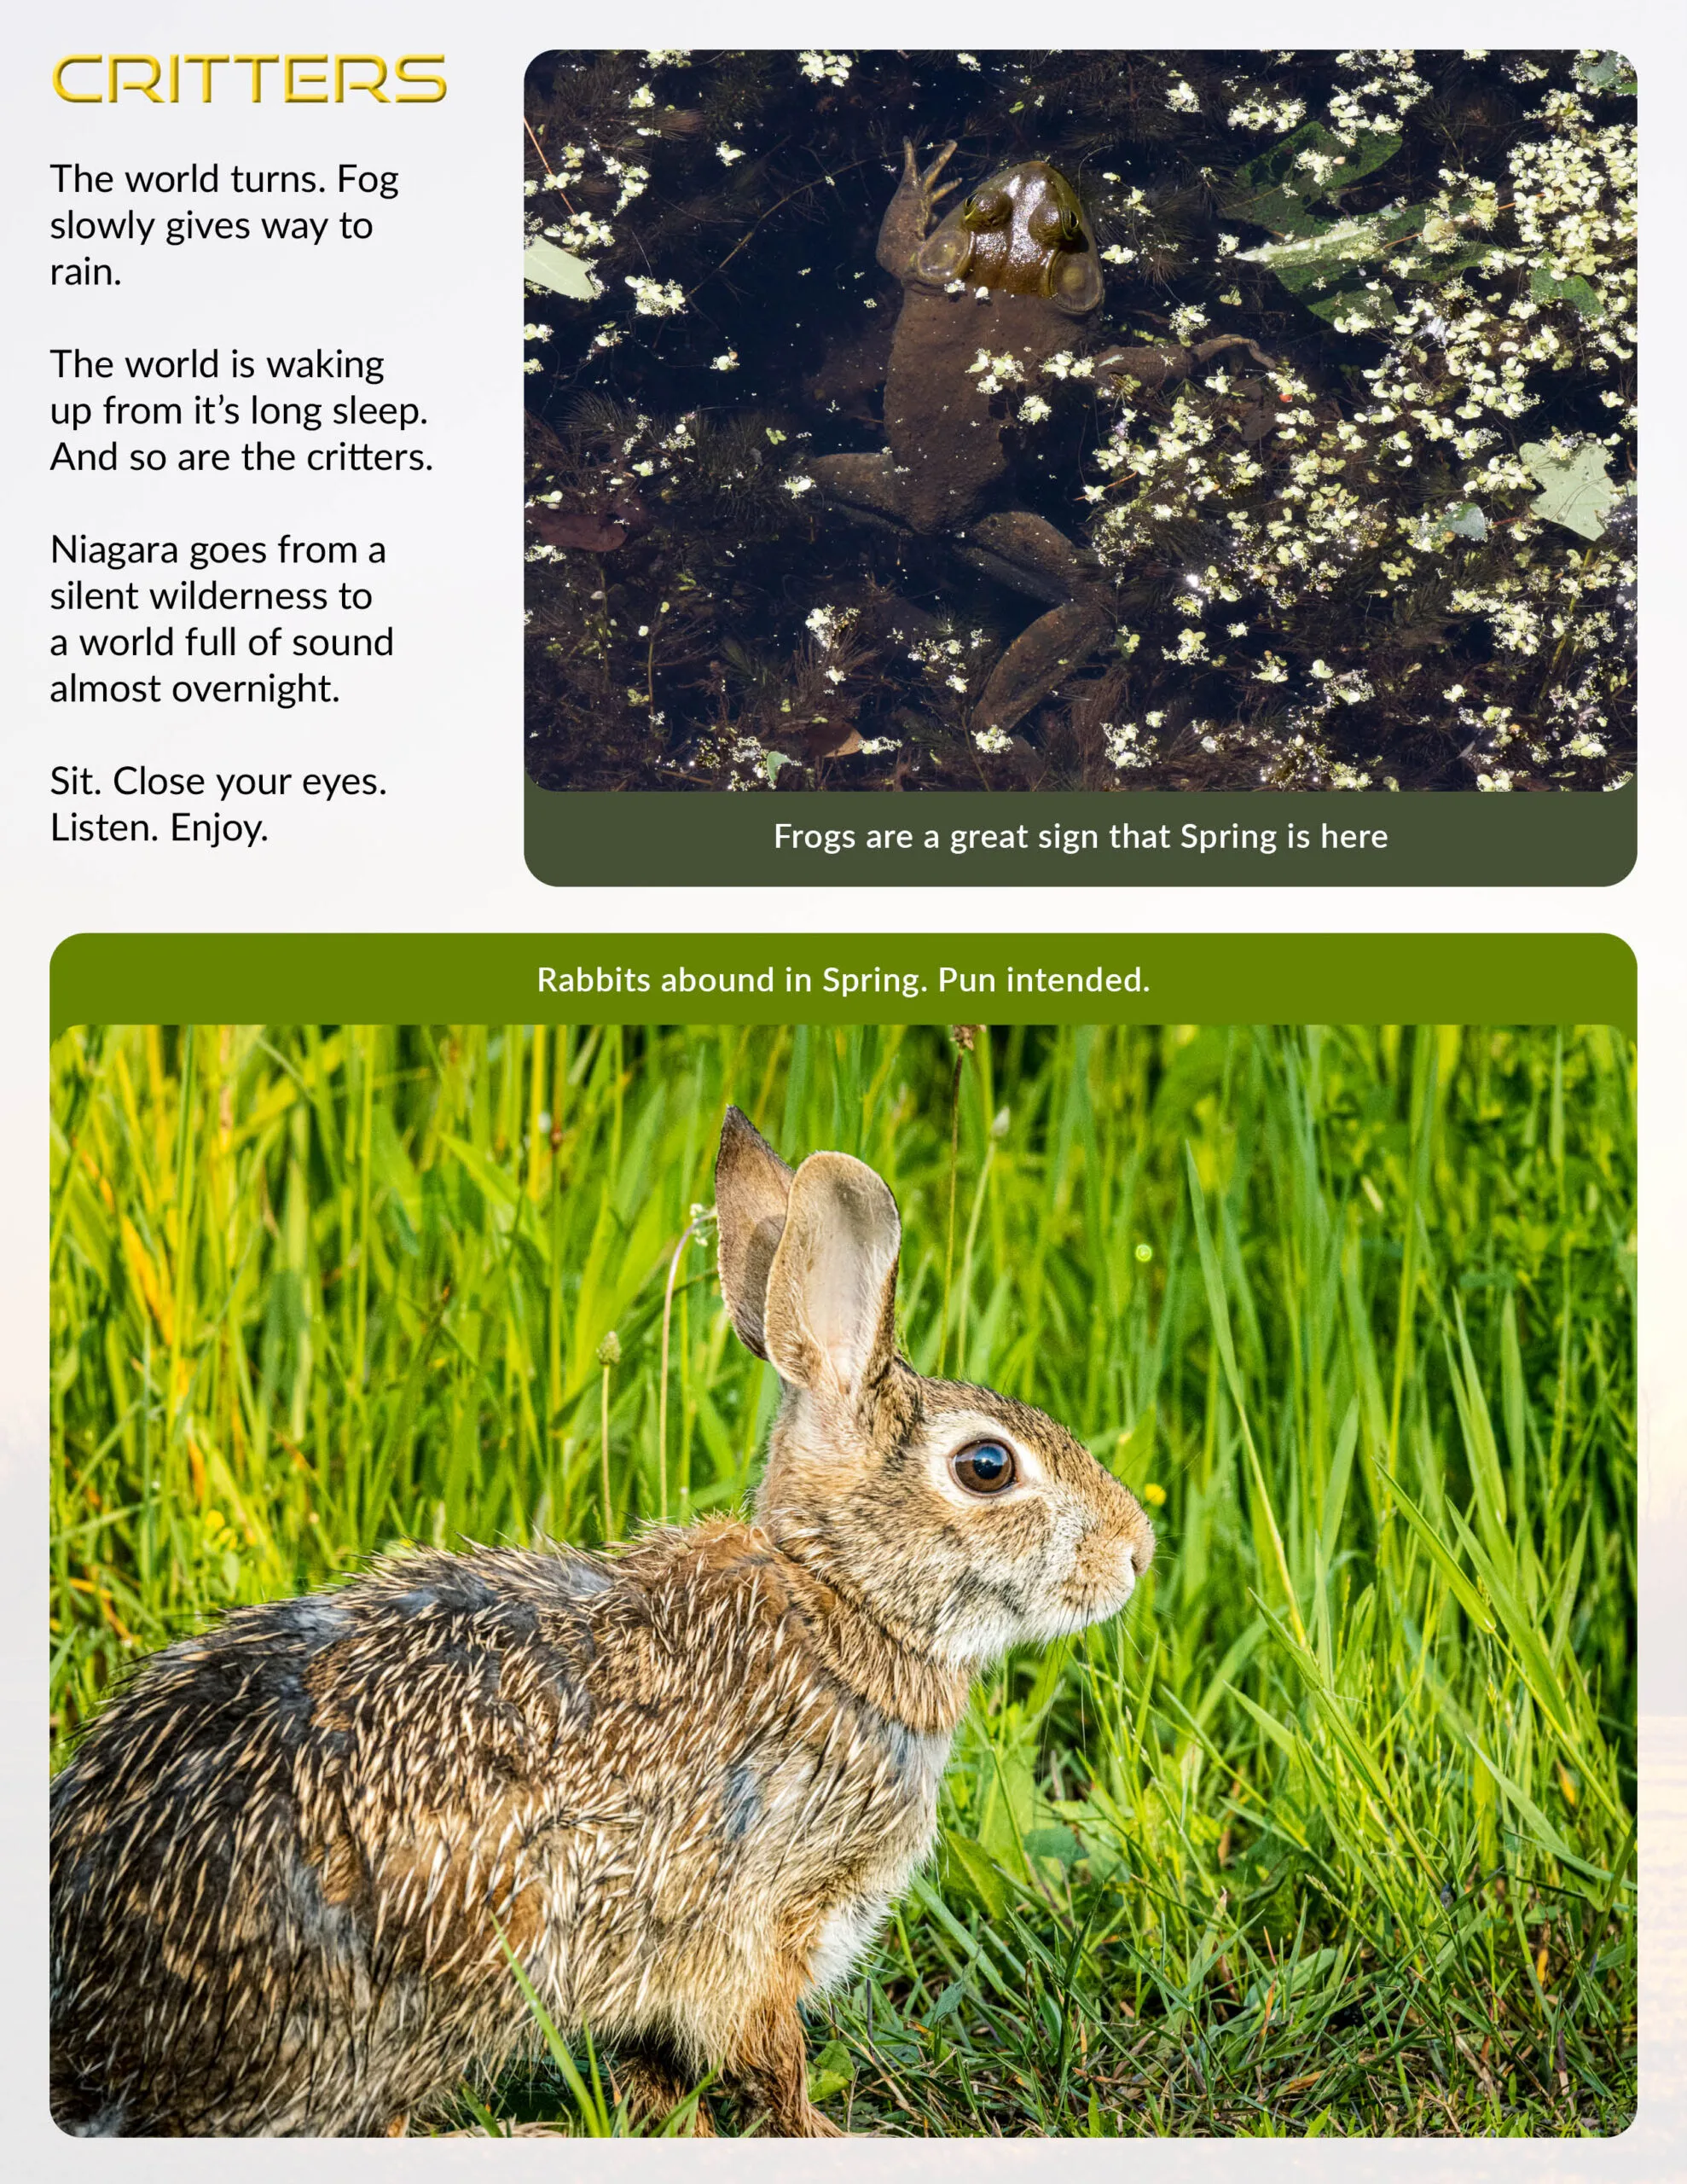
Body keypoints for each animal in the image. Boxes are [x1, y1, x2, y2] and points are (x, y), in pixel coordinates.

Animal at [51, 1105, 1155, 2138]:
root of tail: (104, 2013)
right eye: (987, 1466)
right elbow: (771, 2056)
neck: (841, 1601)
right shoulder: (757, 1928)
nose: (1137, 1549)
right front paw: (823, 2132)